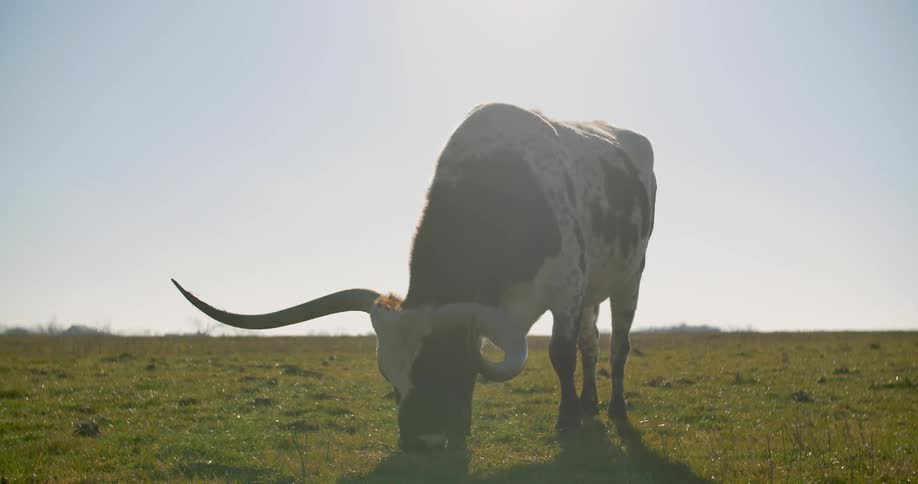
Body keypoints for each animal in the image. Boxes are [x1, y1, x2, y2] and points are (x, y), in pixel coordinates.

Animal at [172, 103, 656, 451]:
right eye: (388, 374)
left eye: (440, 363)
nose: (420, 442)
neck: (500, 192)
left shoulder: (566, 289)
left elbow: (559, 354)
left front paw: (566, 421)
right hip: (594, 293)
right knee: (591, 346)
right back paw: (592, 405)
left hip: (627, 280)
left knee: (616, 347)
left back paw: (613, 409)